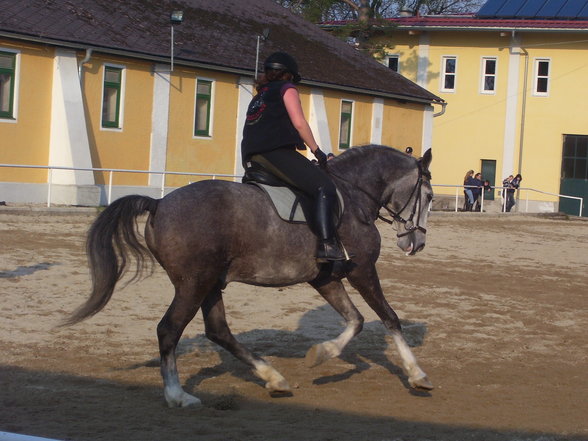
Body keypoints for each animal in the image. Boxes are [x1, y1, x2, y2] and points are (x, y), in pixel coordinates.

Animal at [66, 144, 434, 406]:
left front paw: (321, 354)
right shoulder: (362, 269)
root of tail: (158, 204)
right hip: (194, 283)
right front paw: (417, 374)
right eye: (429, 196)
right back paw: (177, 395)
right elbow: (388, 317)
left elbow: (355, 320)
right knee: (169, 329)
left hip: (209, 284)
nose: (416, 242)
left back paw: (273, 378)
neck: (354, 196)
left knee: (218, 331)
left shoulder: (325, 278)